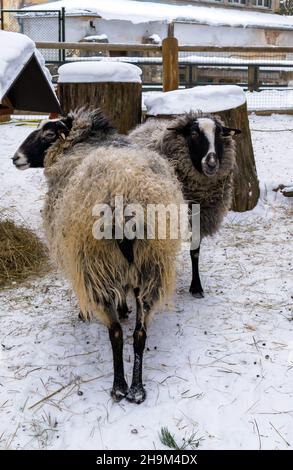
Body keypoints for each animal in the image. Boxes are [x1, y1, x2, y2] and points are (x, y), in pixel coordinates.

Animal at [13, 108, 184, 402]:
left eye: (48, 133)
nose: (15, 158)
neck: (82, 143)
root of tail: (125, 202)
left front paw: (86, 314)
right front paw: (124, 309)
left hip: (95, 264)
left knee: (115, 333)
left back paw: (119, 387)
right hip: (151, 265)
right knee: (140, 333)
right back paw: (137, 389)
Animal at [129, 111, 240, 298]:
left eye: (219, 133)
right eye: (194, 134)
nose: (211, 163)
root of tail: (146, 125)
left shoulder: (200, 218)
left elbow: (195, 252)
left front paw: (196, 287)